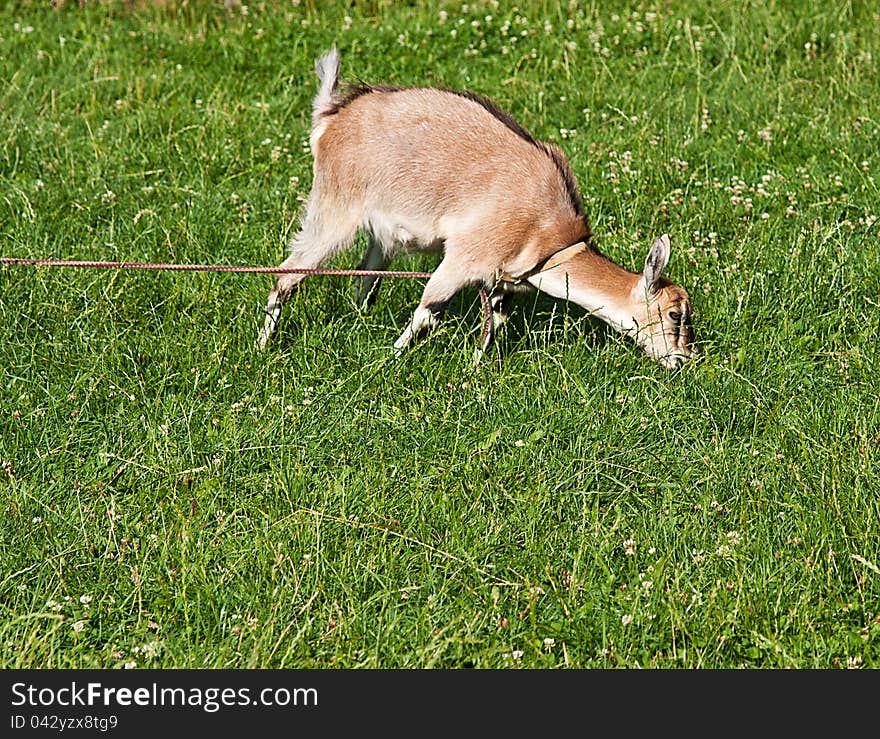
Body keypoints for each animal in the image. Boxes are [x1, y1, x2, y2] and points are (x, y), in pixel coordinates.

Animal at [258, 47, 696, 370]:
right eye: (676, 314)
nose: (683, 360)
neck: (551, 239)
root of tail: (331, 116)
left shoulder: (502, 280)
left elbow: (495, 320)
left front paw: (476, 367)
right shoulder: (464, 257)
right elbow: (428, 311)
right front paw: (388, 361)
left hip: (378, 232)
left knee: (368, 272)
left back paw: (359, 319)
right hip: (334, 207)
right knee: (287, 274)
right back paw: (264, 345)